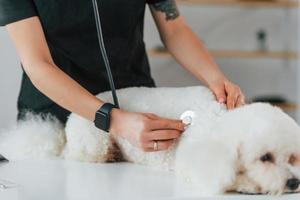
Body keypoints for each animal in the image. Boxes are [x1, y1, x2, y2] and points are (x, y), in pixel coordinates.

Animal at [0, 86, 300, 195]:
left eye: (293, 158)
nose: (294, 183)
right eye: (265, 158)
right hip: (93, 143)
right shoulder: (193, 162)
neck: (219, 120)